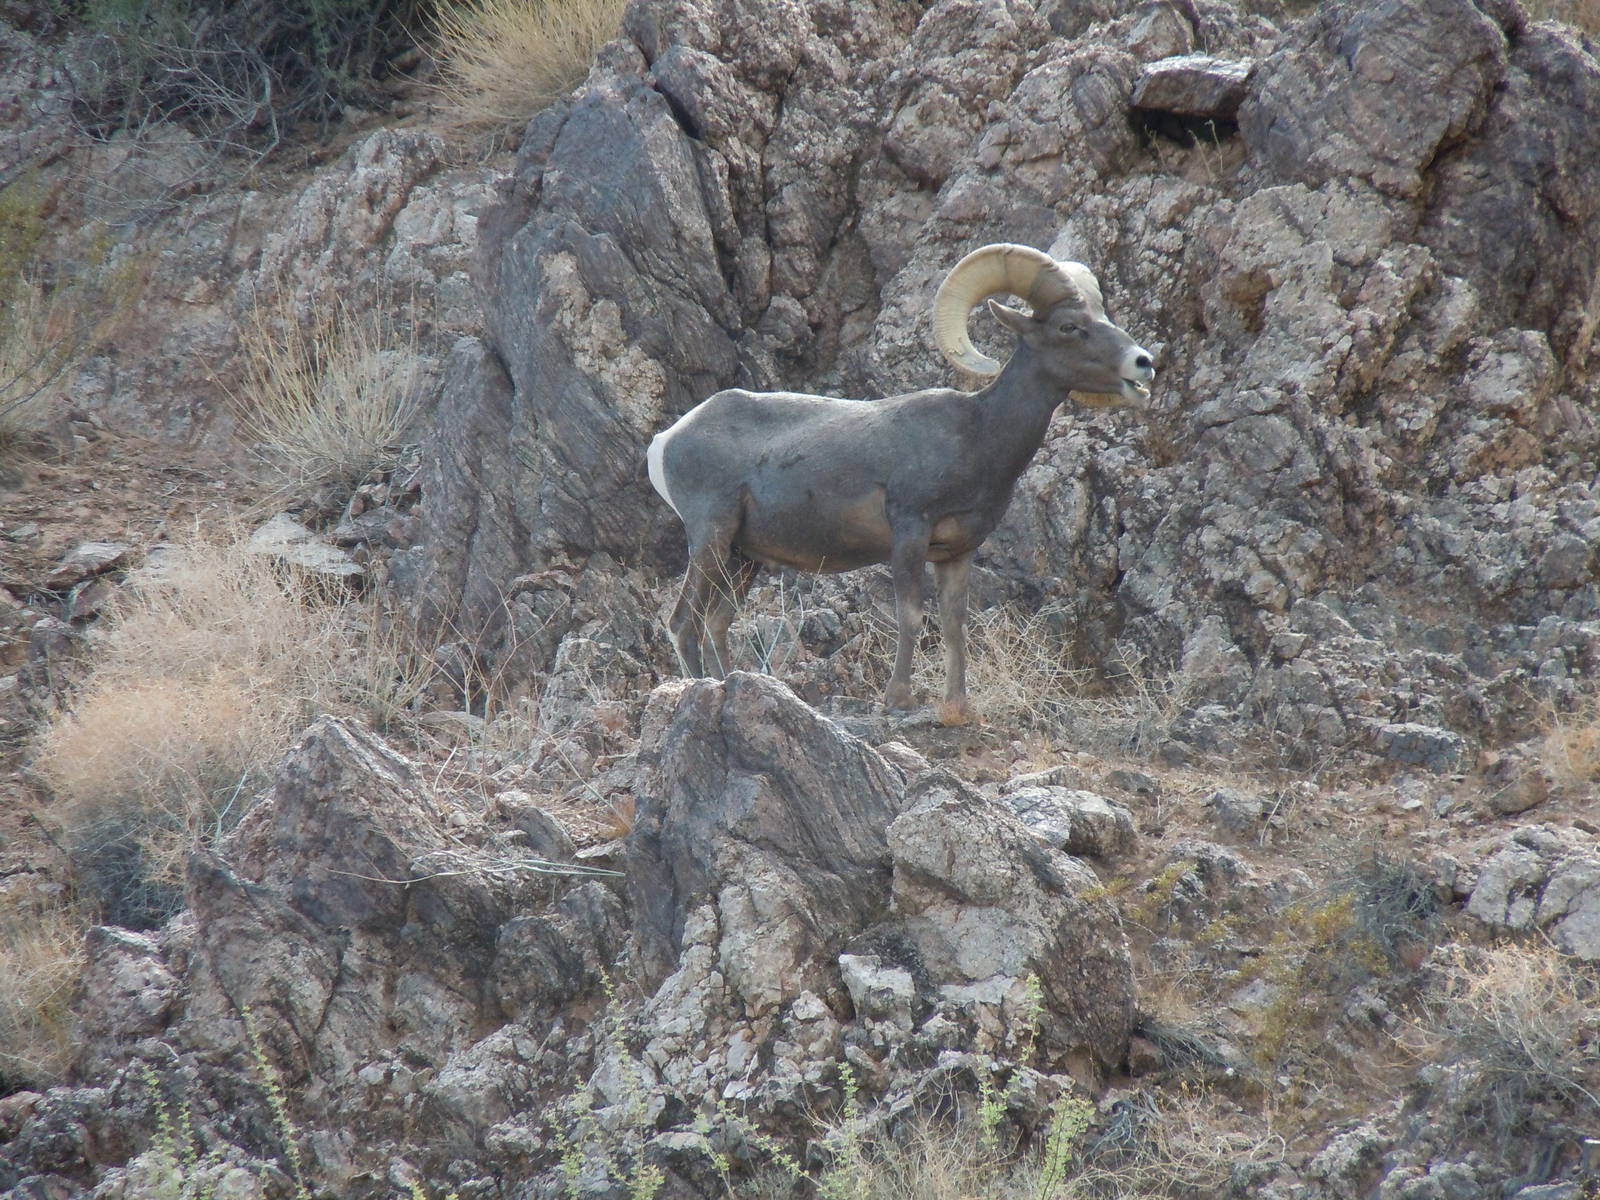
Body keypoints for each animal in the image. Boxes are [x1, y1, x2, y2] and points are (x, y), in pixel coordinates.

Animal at [647, 242, 1155, 723]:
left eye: (1103, 316)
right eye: (1070, 326)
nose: (1143, 362)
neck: (978, 436)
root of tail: (667, 441)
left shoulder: (956, 552)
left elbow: (953, 623)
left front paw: (957, 706)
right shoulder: (910, 531)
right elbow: (911, 615)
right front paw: (899, 700)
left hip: (742, 559)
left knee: (715, 623)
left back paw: (727, 680)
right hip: (712, 537)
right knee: (683, 622)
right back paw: (701, 687)